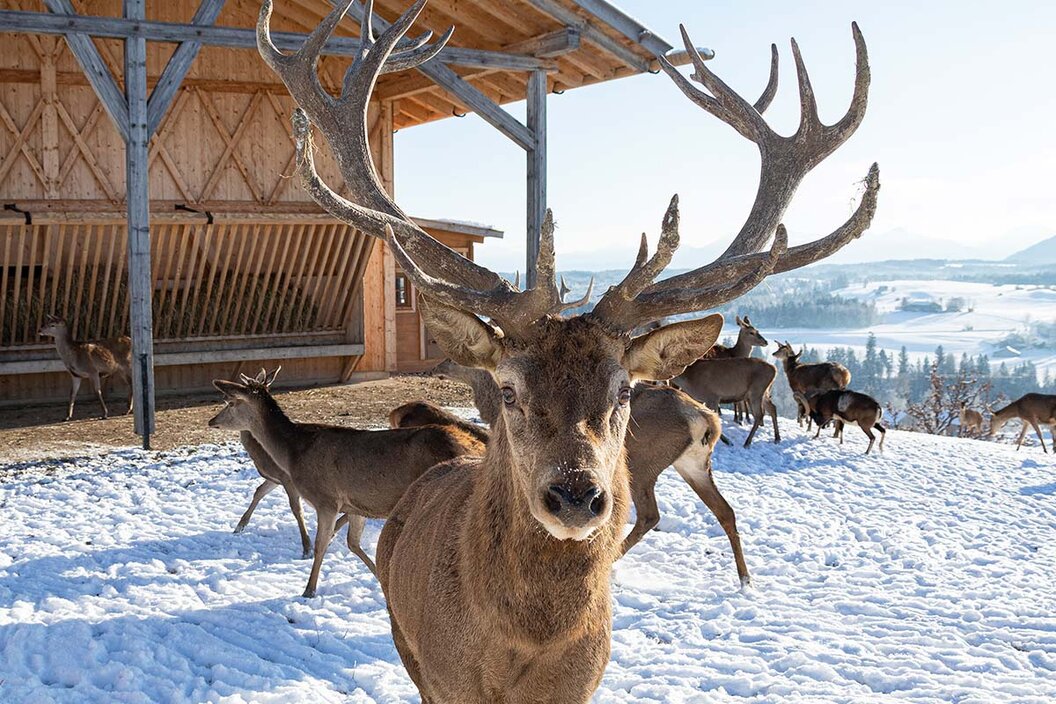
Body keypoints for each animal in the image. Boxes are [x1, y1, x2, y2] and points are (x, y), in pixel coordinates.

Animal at [206, 371, 485, 599]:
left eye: (230, 402)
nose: (211, 421)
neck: (293, 453)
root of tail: (477, 447)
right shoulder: (355, 504)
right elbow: (353, 543)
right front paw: (380, 580)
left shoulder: (326, 499)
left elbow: (321, 544)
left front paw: (309, 590)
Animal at [422, 363, 751, 582]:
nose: (432, 369)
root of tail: (706, 420)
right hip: (694, 464)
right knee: (725, 509)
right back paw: (745, 577)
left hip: (642, 462)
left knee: (650, 514)